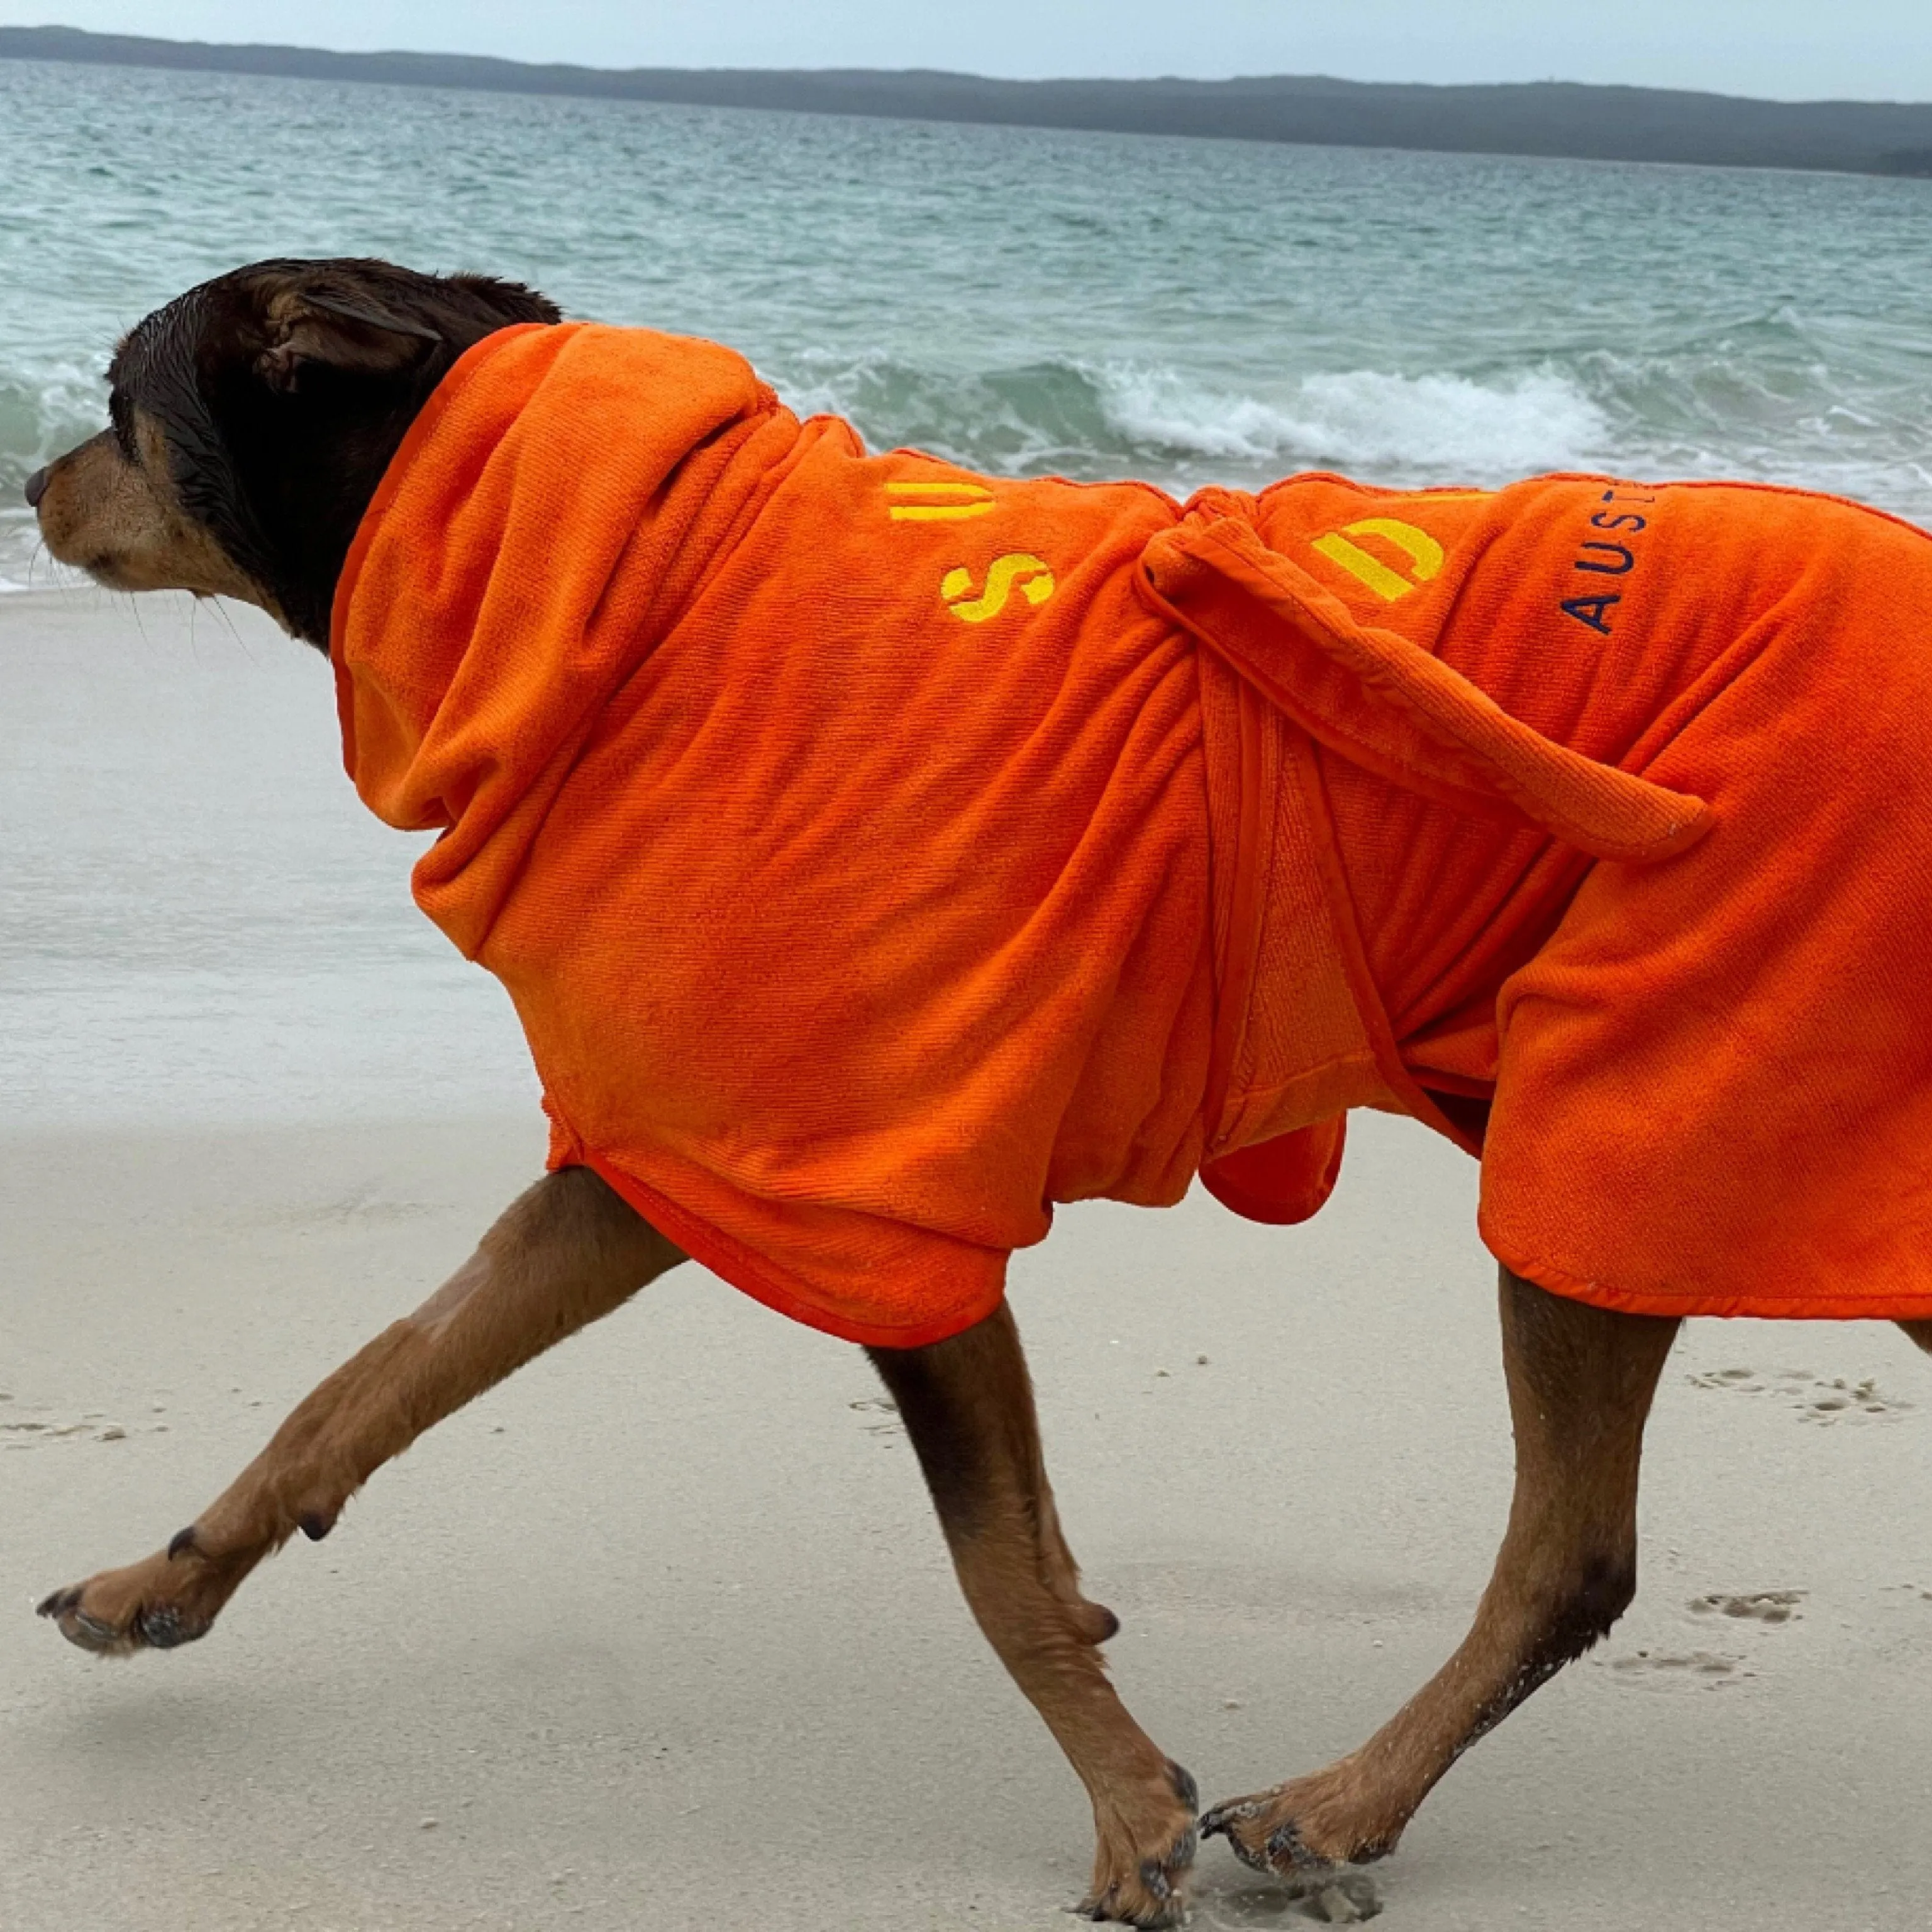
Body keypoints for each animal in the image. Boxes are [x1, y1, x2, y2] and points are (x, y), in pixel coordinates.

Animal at [23, 260, 1932, 1932]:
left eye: (120, 404)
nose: (27, 476)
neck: (631, 599)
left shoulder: (871, 1199)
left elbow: (994, 1571)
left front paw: (1127, 1818)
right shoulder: (677, 1168)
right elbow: (366, 1384)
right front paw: (160, 1577)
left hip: (1643, 1098)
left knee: (1568, 1557)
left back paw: (1335, 1806)